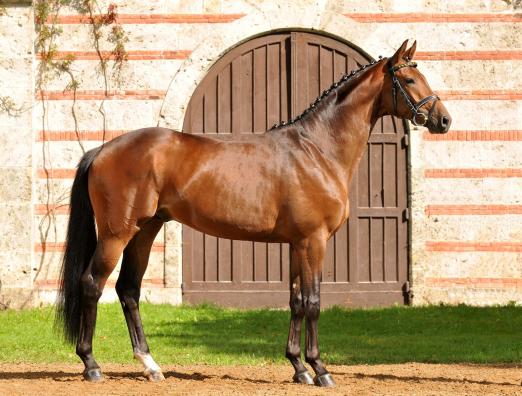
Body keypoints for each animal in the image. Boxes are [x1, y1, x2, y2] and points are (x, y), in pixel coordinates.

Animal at [54, 41, 448, 386]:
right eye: (409, 79)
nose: (443, 119)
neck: (317, 150)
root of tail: (102, 150)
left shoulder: (297, 244)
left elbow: (296, 301)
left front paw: (298, 368)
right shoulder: (314, 241)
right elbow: (314, 302)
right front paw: (320, 369)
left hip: (145, 231)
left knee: (128, 290)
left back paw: (151, 366)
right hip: (116, 233)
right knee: (92, 284)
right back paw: (91, 365)